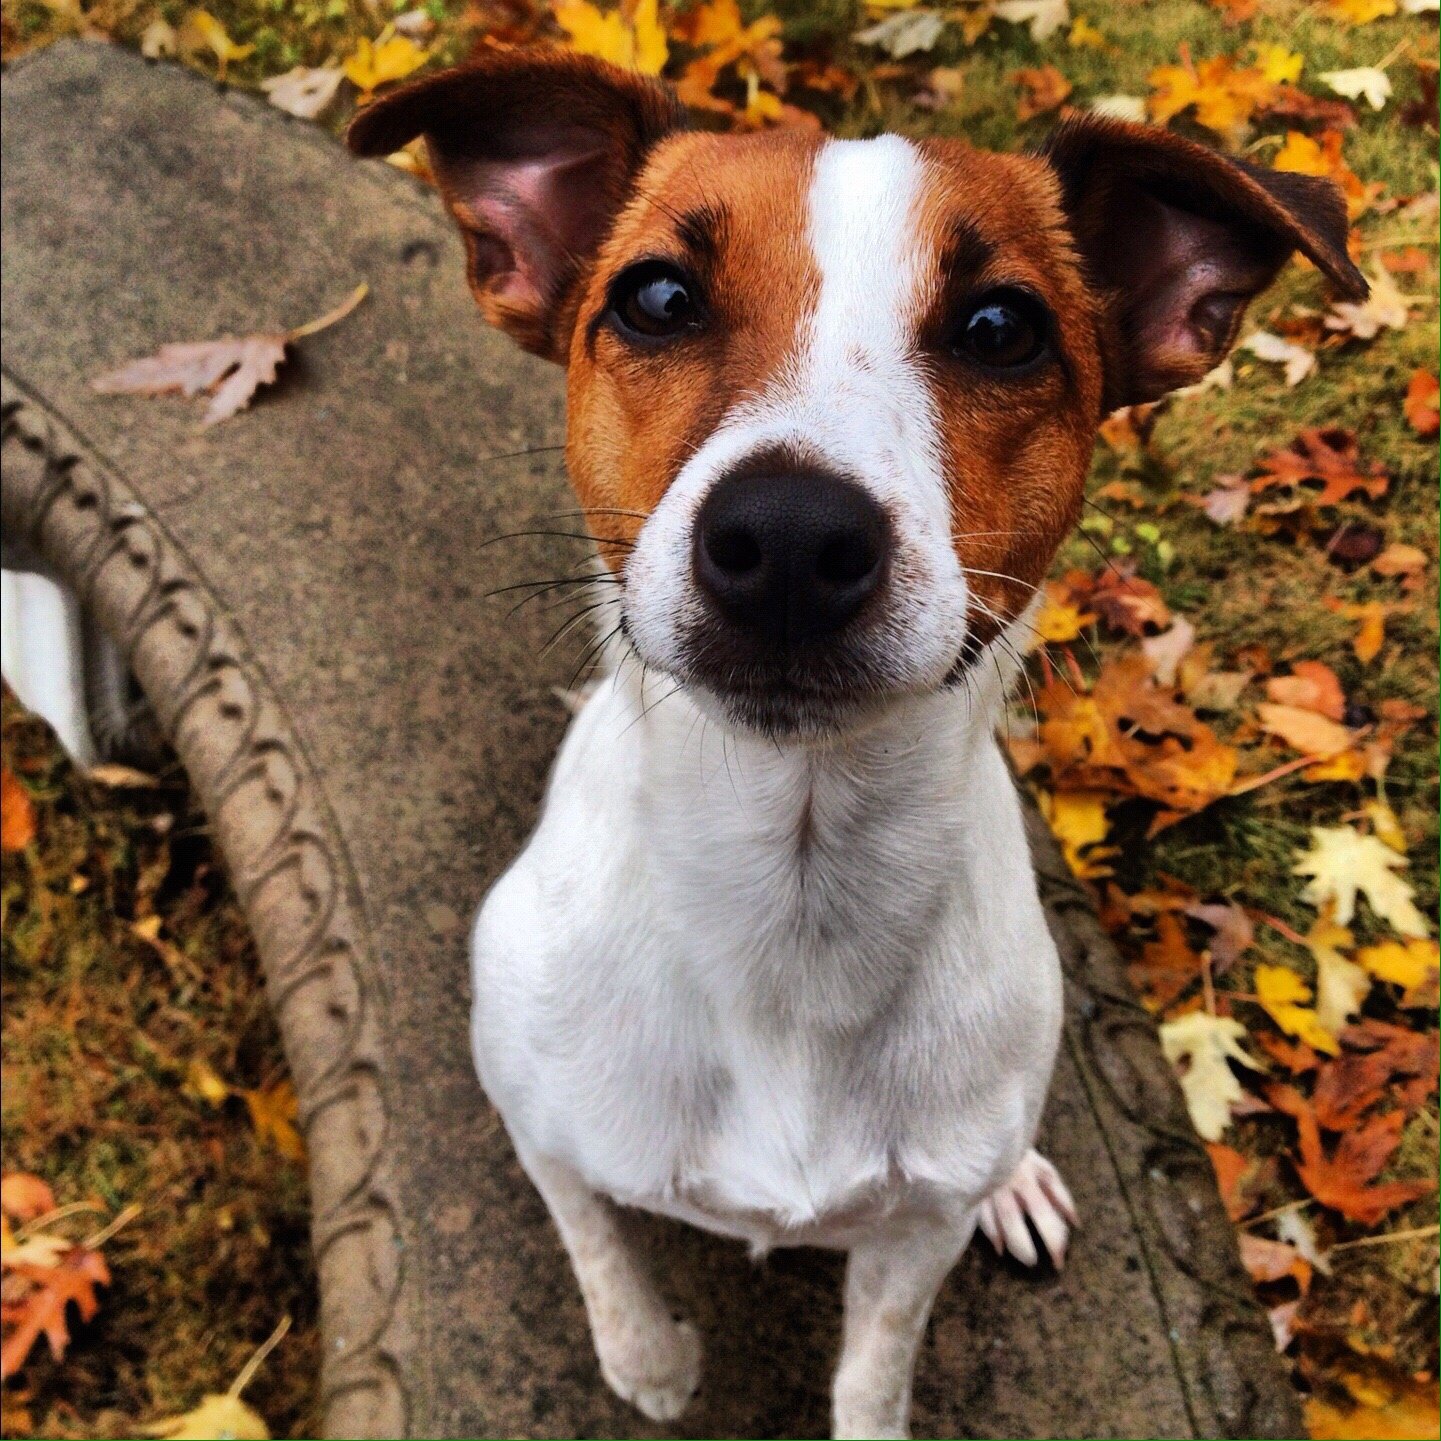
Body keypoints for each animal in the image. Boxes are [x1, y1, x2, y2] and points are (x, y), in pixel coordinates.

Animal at [348, 50, 1360, 1435]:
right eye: (656, 299)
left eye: (1001, 328)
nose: (786, 536)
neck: (791, 888)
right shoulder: (537, 1121)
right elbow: (595, 1239)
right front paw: (646, 1356)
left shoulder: (910, 1239)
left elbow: (875, 1367)